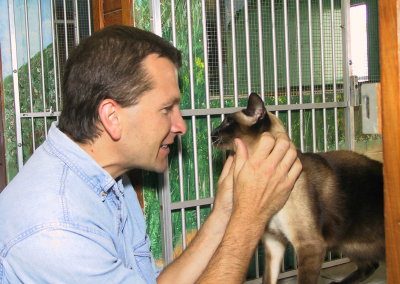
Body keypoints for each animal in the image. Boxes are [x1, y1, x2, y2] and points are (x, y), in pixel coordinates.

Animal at [212, 92, 384, 282]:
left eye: (228, 122)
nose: (211, 134)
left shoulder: (309, 246)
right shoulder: (274, 243)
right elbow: (268, 279)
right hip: (349, 243)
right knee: (370, 265)